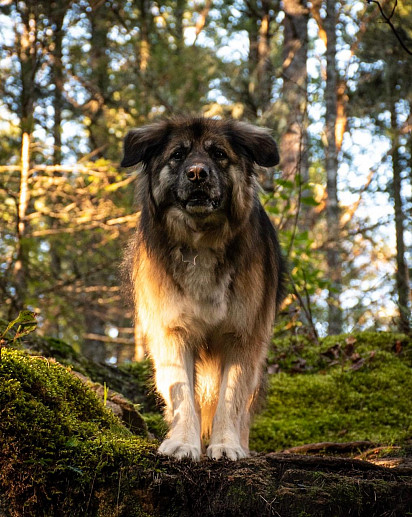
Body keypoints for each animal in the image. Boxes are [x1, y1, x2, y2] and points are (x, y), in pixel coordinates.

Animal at [120, 116, 284, 460]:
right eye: (178, 155)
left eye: (219, 154)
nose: (197, 173)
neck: (202, 239)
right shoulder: (172, 331)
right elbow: (181, 391)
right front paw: (183, 442)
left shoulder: (244, 335)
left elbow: (232, 397)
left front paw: (227, 444)